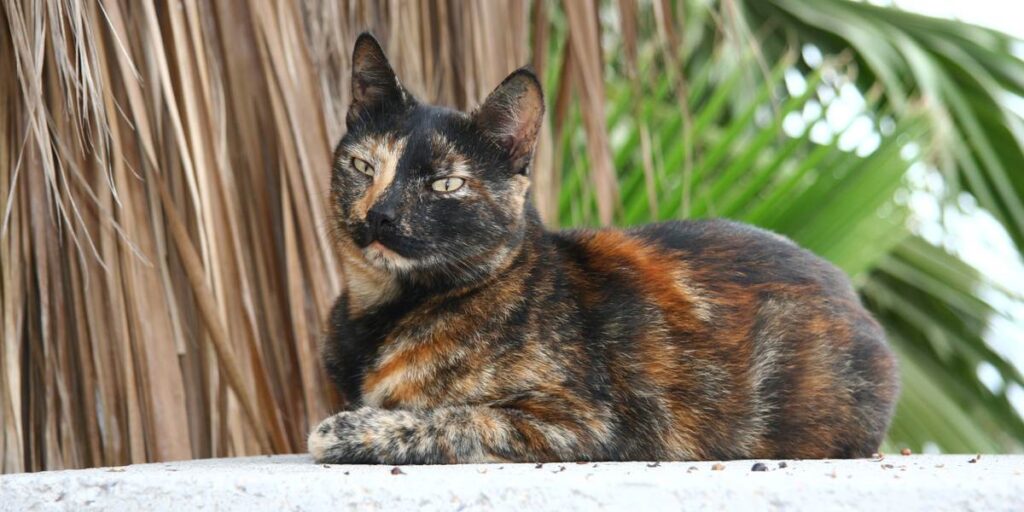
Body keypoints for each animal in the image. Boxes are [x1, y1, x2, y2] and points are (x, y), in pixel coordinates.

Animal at [307, 32, 901, 464]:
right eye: (364, 166)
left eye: (445, 184)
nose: (379, 215)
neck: (382, 314)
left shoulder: (584, 423)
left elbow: (453, 417)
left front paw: (346, 430)